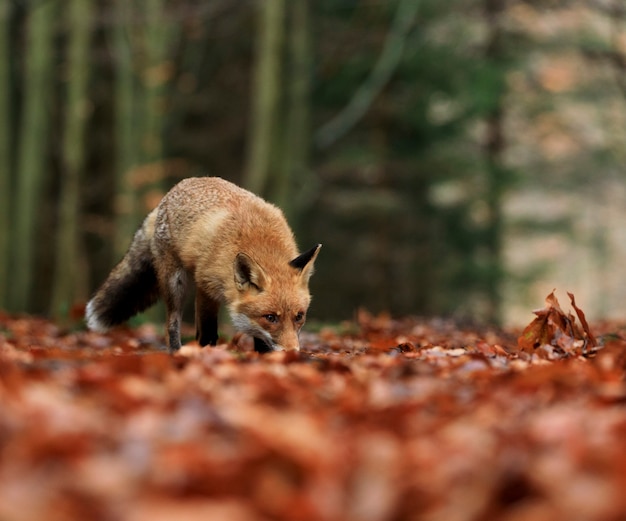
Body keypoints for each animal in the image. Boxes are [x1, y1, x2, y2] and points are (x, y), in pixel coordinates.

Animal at [85, 178, 320, 354]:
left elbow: (261, 339)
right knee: (171, 325)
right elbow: (207, 333)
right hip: (177, 283)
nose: (292, 352)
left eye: (299, 316)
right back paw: (177, 352)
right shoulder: (207, 287)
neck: (260, 243)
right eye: (271, 318)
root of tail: (167, 196)